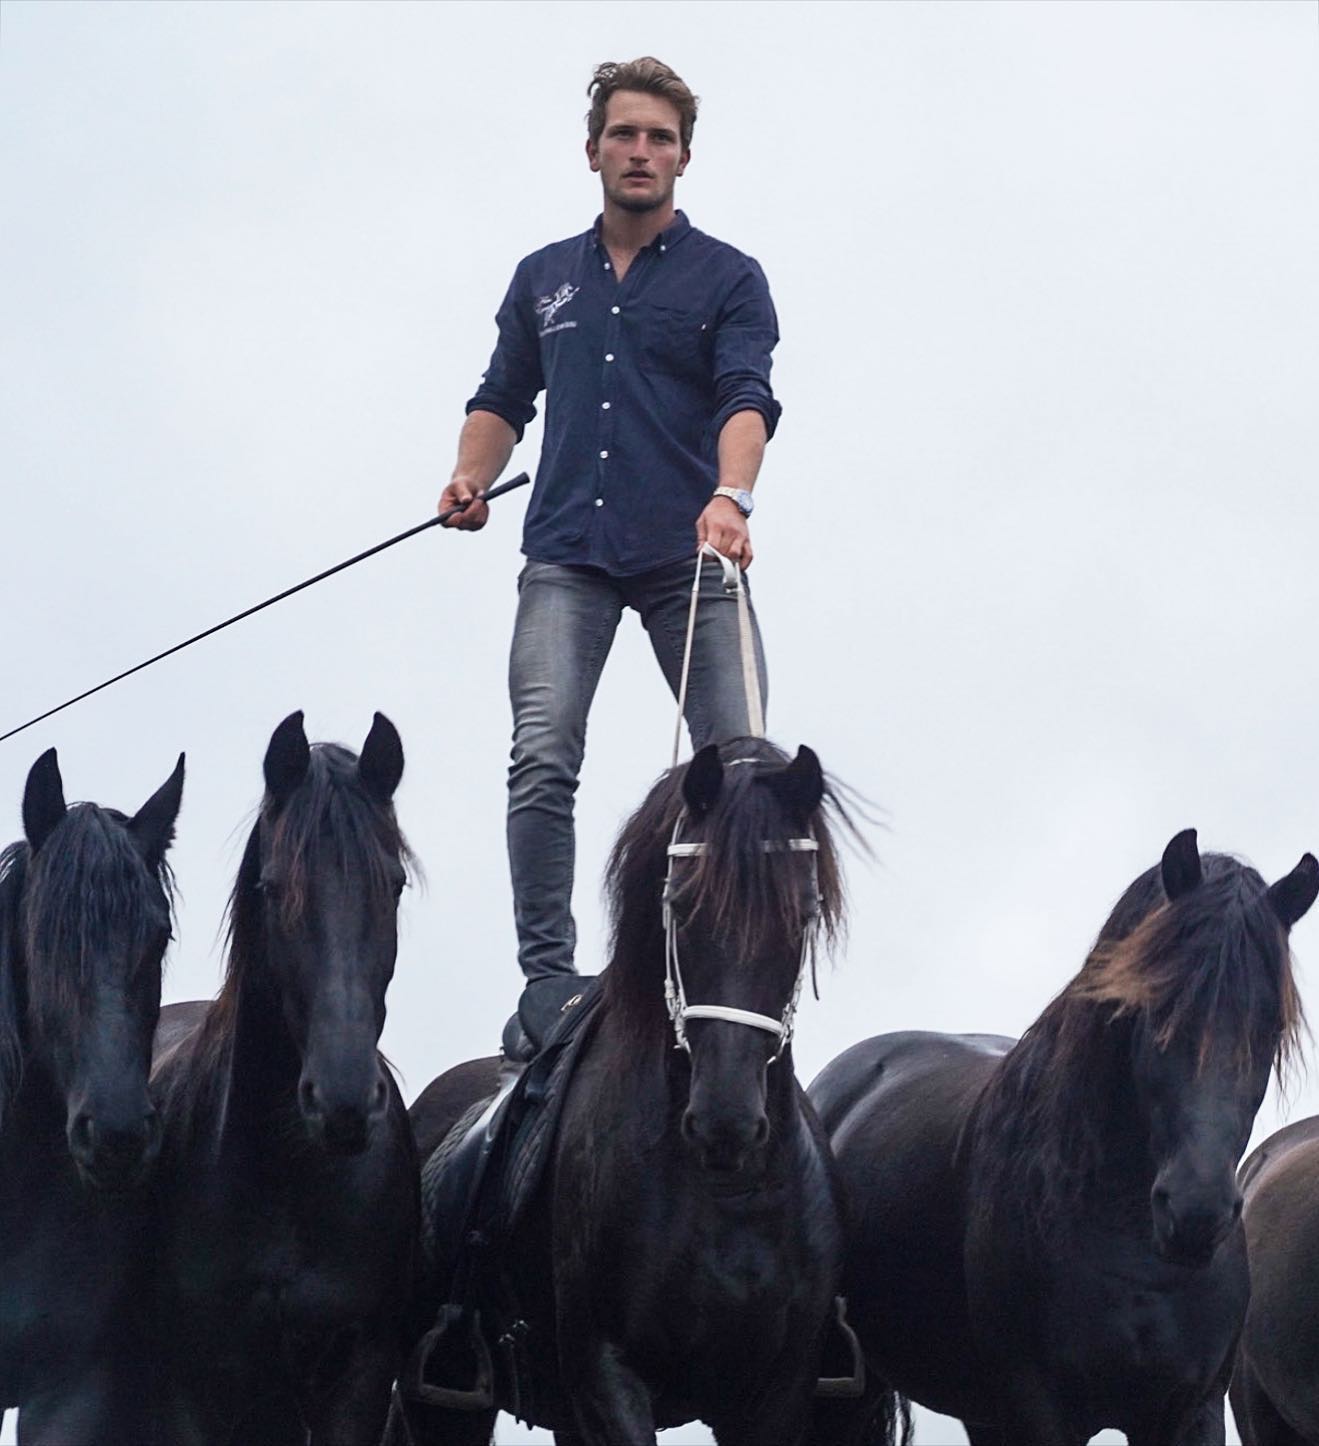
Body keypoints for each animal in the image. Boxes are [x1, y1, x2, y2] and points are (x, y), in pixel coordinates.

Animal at [396, 740, 861, 1440]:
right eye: (681, 905)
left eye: (801, 914)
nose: (725, 1122)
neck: (730, 1197)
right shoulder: (606, 1377)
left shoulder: (777, 1392)